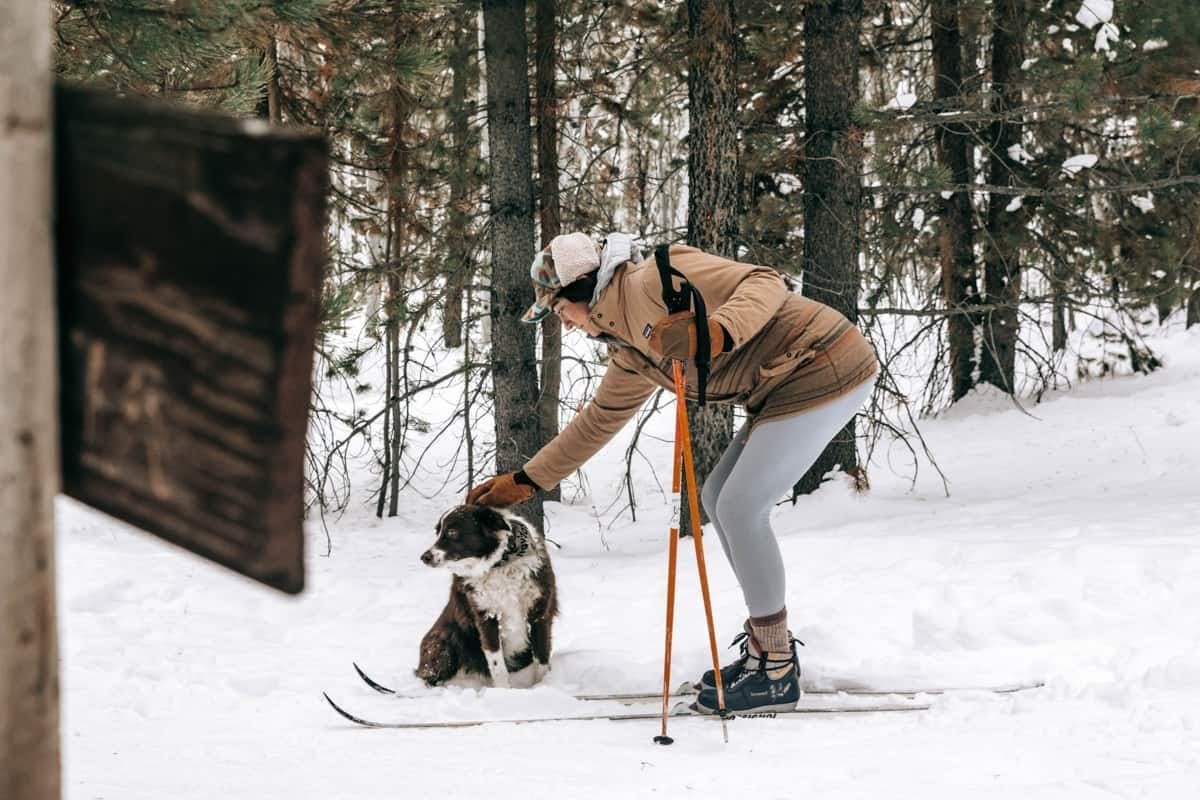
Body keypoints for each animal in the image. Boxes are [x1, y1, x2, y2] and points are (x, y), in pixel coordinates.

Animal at [417, 506, 556, 690]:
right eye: (438, 531)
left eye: (452, 531)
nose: (424, 557)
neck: (500, 564)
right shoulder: (486, 617)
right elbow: (497, 664)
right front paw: (504, 692)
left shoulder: (539, 614)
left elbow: (542, 659)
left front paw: (542, 686)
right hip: (445, 640)